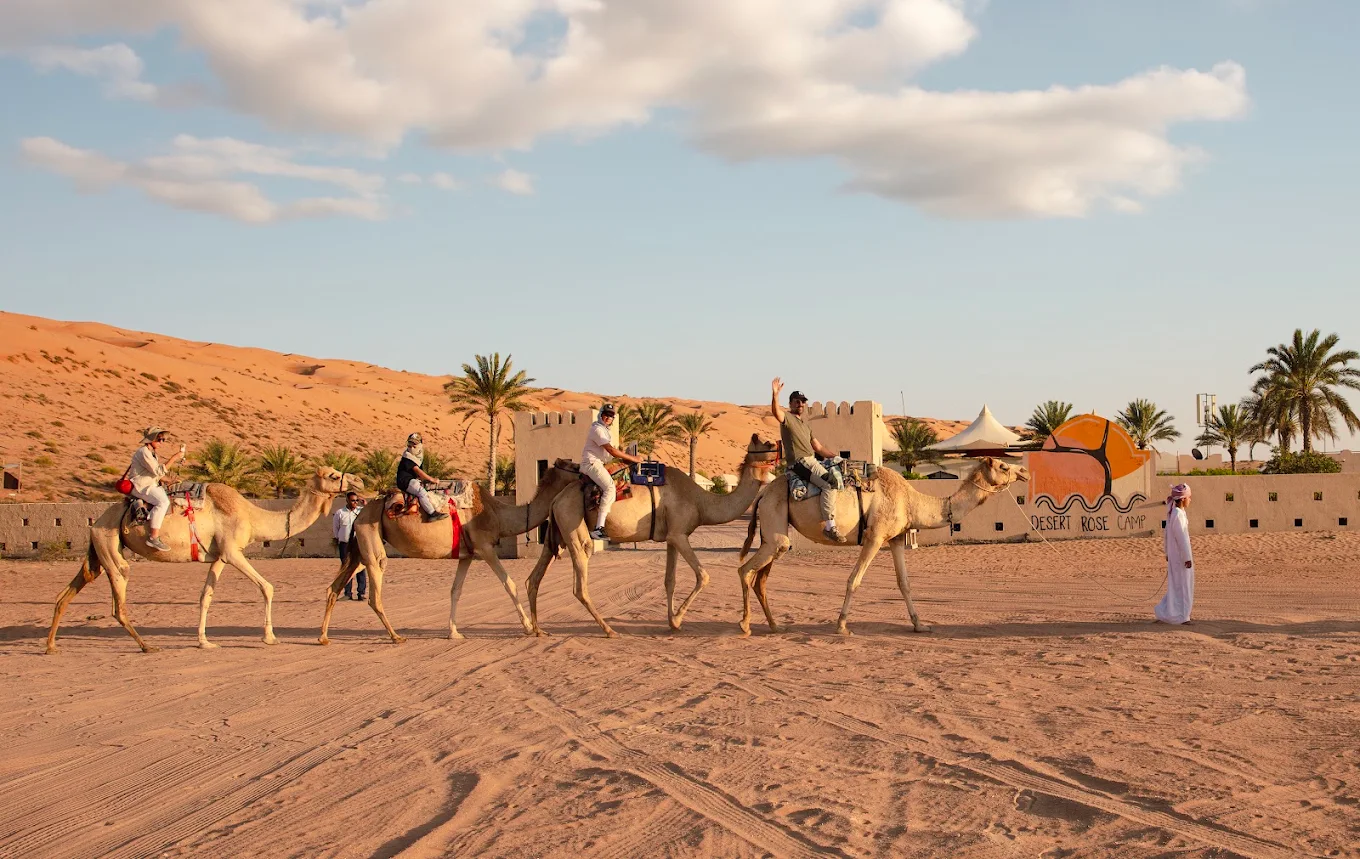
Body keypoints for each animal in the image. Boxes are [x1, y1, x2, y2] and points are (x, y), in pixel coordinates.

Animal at [46, 467, 363, 653]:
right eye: (333, 475)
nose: (359, 480)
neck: (252, 515)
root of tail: (97, 521)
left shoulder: (220, 556)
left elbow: (205, 596)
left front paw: (205, 641)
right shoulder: (233, 551)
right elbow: (267, 587)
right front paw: (269, 637)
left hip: (100, 549)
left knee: (68, 592)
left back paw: (50, 645)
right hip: (111, 546)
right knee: (118, 601)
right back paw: (146, 646)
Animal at [317, 460, 581, 644]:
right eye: (572, 466)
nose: (583, 470)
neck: (496, 513)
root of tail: (360, 513)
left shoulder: (467, 554)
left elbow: (456, 591)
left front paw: (454, 633)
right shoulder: (485, 547)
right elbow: (509, 584)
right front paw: (528, 628)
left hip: (359, 548)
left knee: (334, 587)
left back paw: (323, 637)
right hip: (371, 538)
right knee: (375, 588)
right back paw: (395, 637)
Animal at [526, 434, 780, 637]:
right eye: (766, 444)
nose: (778, 446)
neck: (701, 501)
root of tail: (557, 500)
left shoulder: (671, 538)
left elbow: (670, 581)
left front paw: (672, 623)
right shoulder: (679, 535)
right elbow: (703, 576)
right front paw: (677, 619)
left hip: (556, 536)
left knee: (534, 579)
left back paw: (538, 630)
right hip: (574, 526)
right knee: (580, 585)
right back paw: (609, 630)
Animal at [737, 457, 1029, 636]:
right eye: (1003, 466)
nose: (1024, 472)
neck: (910, 500)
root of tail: (762, 493)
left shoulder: (897, 538)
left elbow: (904, 583)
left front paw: (920, 625)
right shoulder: (875, 536)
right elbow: (854, 579)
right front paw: (842, 626)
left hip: (773, 535)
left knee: (760, 578)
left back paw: (774, 626)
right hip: (775, 526)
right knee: (745, 570)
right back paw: (745, 624)